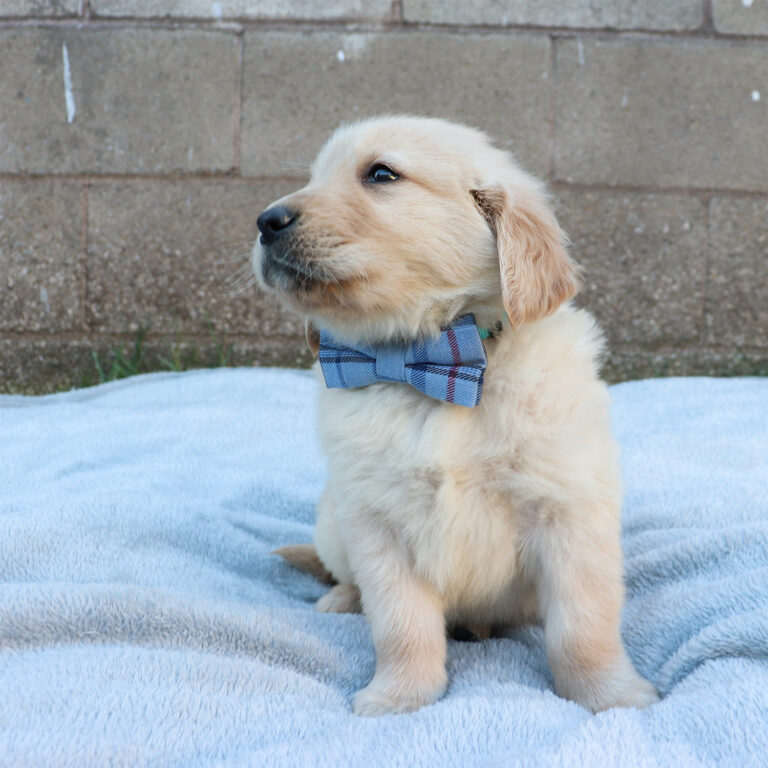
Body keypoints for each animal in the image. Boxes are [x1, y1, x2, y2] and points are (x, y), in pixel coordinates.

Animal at [254, 117, 660, 716]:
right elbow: (401, 625)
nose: (265, 221)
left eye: (381, 174)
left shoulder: (569, 514)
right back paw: (341, 598)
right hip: (333, 522)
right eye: (313, 178)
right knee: (344, 575)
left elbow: (583, 627)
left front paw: (611, 695)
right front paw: (400, 697)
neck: (431, 361)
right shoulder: (378, 525)